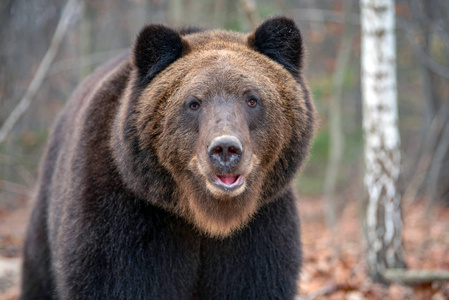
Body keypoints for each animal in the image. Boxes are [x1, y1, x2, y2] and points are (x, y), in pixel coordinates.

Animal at [21, 17, 316, 300]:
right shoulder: (128, 217)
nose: (225, 149)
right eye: (194, 102)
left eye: (252, 99)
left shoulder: (258, 228)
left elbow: (255, 281)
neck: (208, 218)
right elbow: (116, 279)